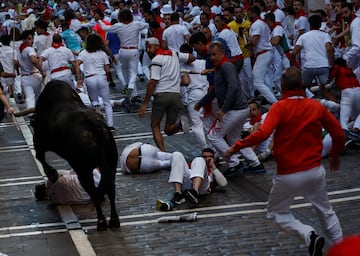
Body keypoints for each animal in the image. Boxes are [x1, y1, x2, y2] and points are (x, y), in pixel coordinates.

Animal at [15, 80, 119, 230]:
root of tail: (95, 126)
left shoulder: (39, 140)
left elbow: (40, 156)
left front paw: (53, 175)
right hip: (111, 163)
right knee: (110, 189)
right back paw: (114, 220)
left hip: (83, 170)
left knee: (95, 193)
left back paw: (101, 222)